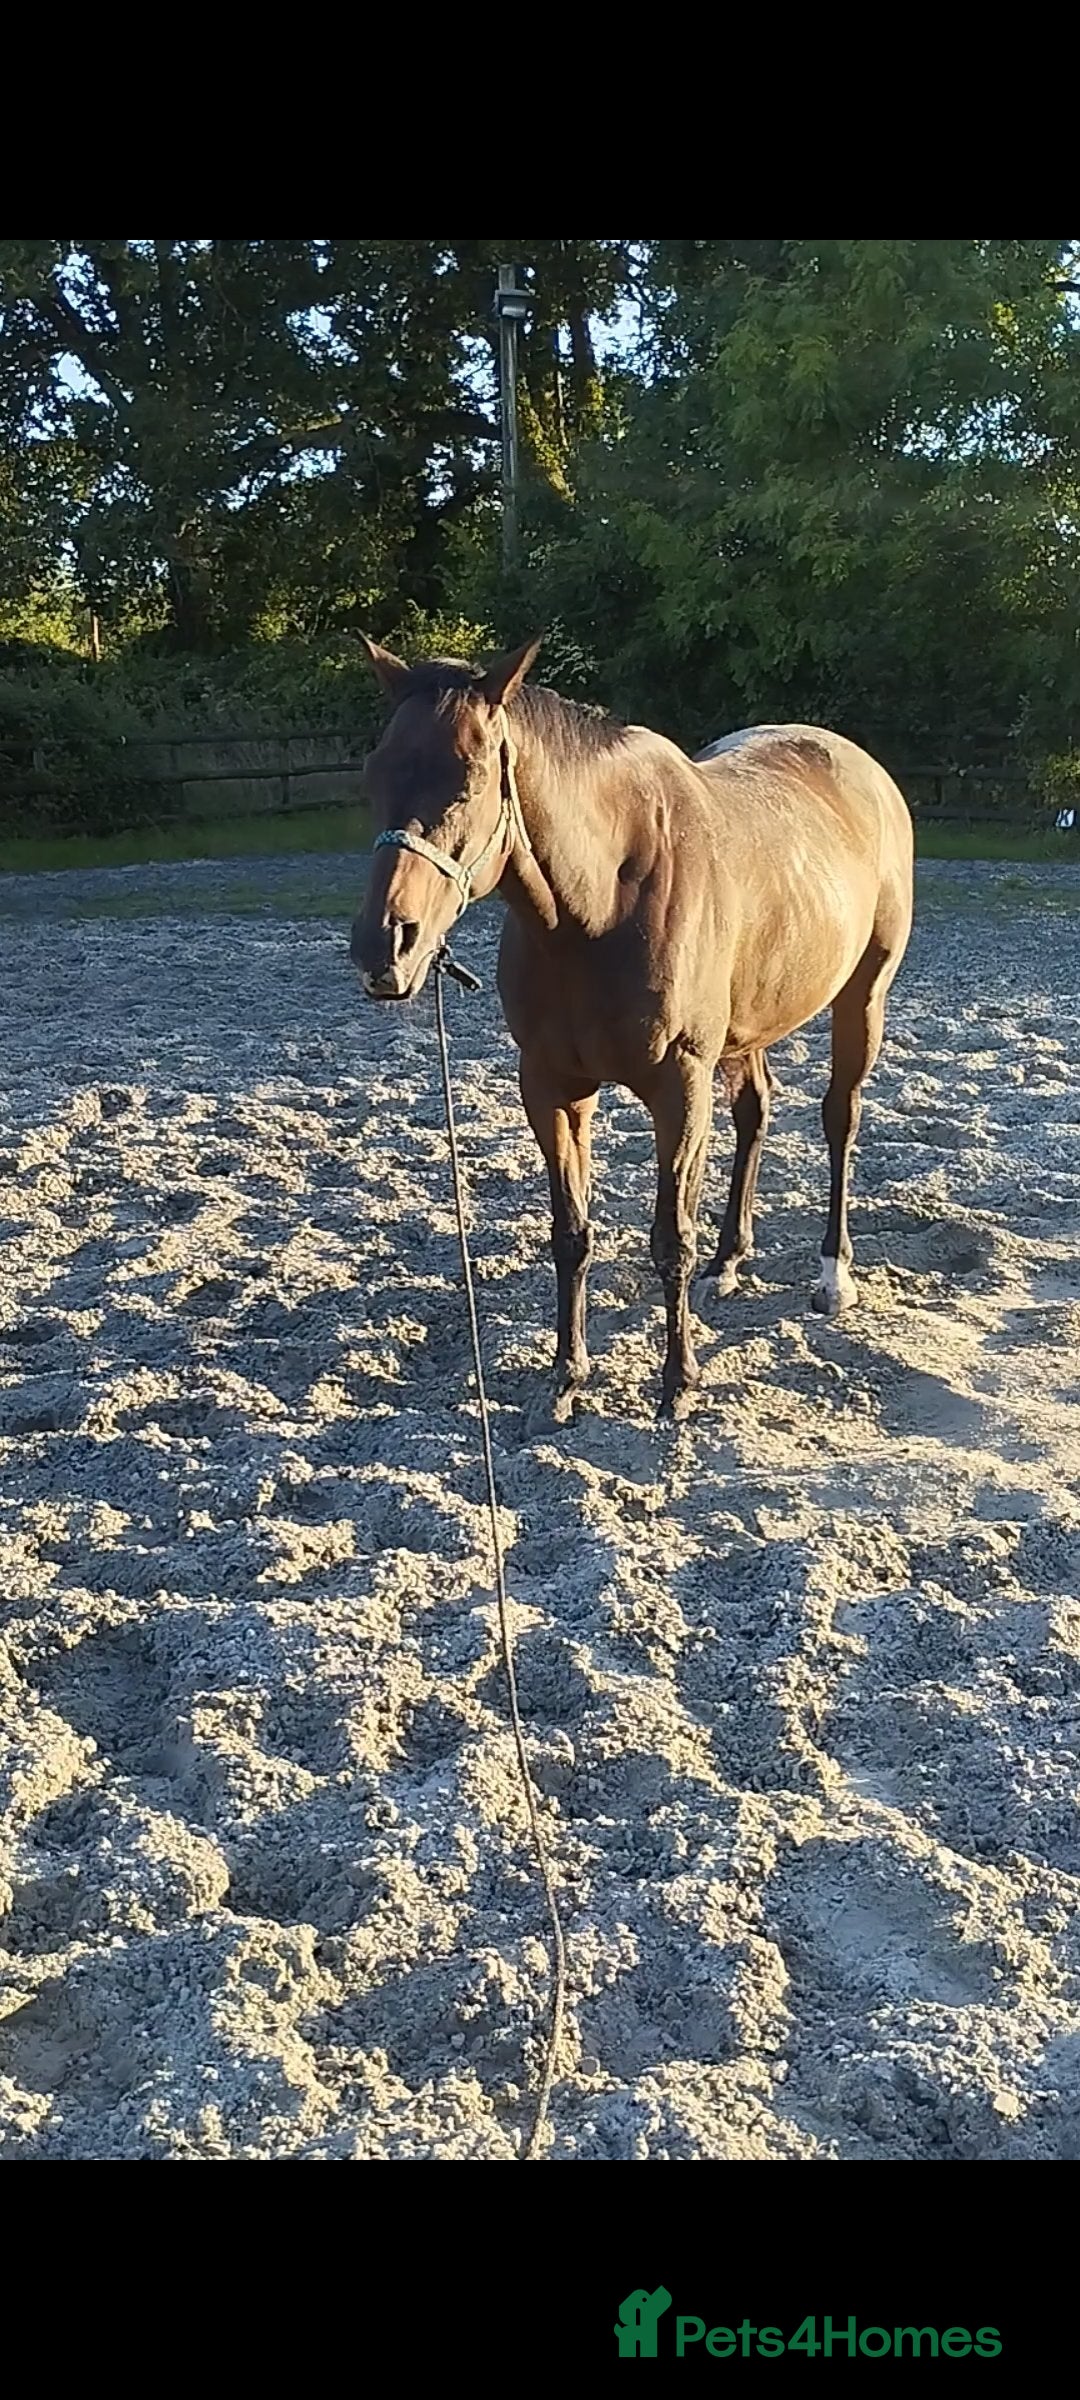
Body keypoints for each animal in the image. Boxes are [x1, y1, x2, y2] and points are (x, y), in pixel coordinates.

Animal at [350, 637, 914, 1418]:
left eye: (468, 783)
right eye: (373, 777)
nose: (384, 948)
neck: (600, 906)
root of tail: (862, 770)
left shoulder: (678, 1087)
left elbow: (669, 1238)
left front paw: (678, 1383)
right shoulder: (551, 1088)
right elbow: (571, 1234)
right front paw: (567, 1374)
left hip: (862, 999)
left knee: (840, 1119)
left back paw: (833, 1275)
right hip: (747, 1030)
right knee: (755, 1112)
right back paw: (729, 1260)